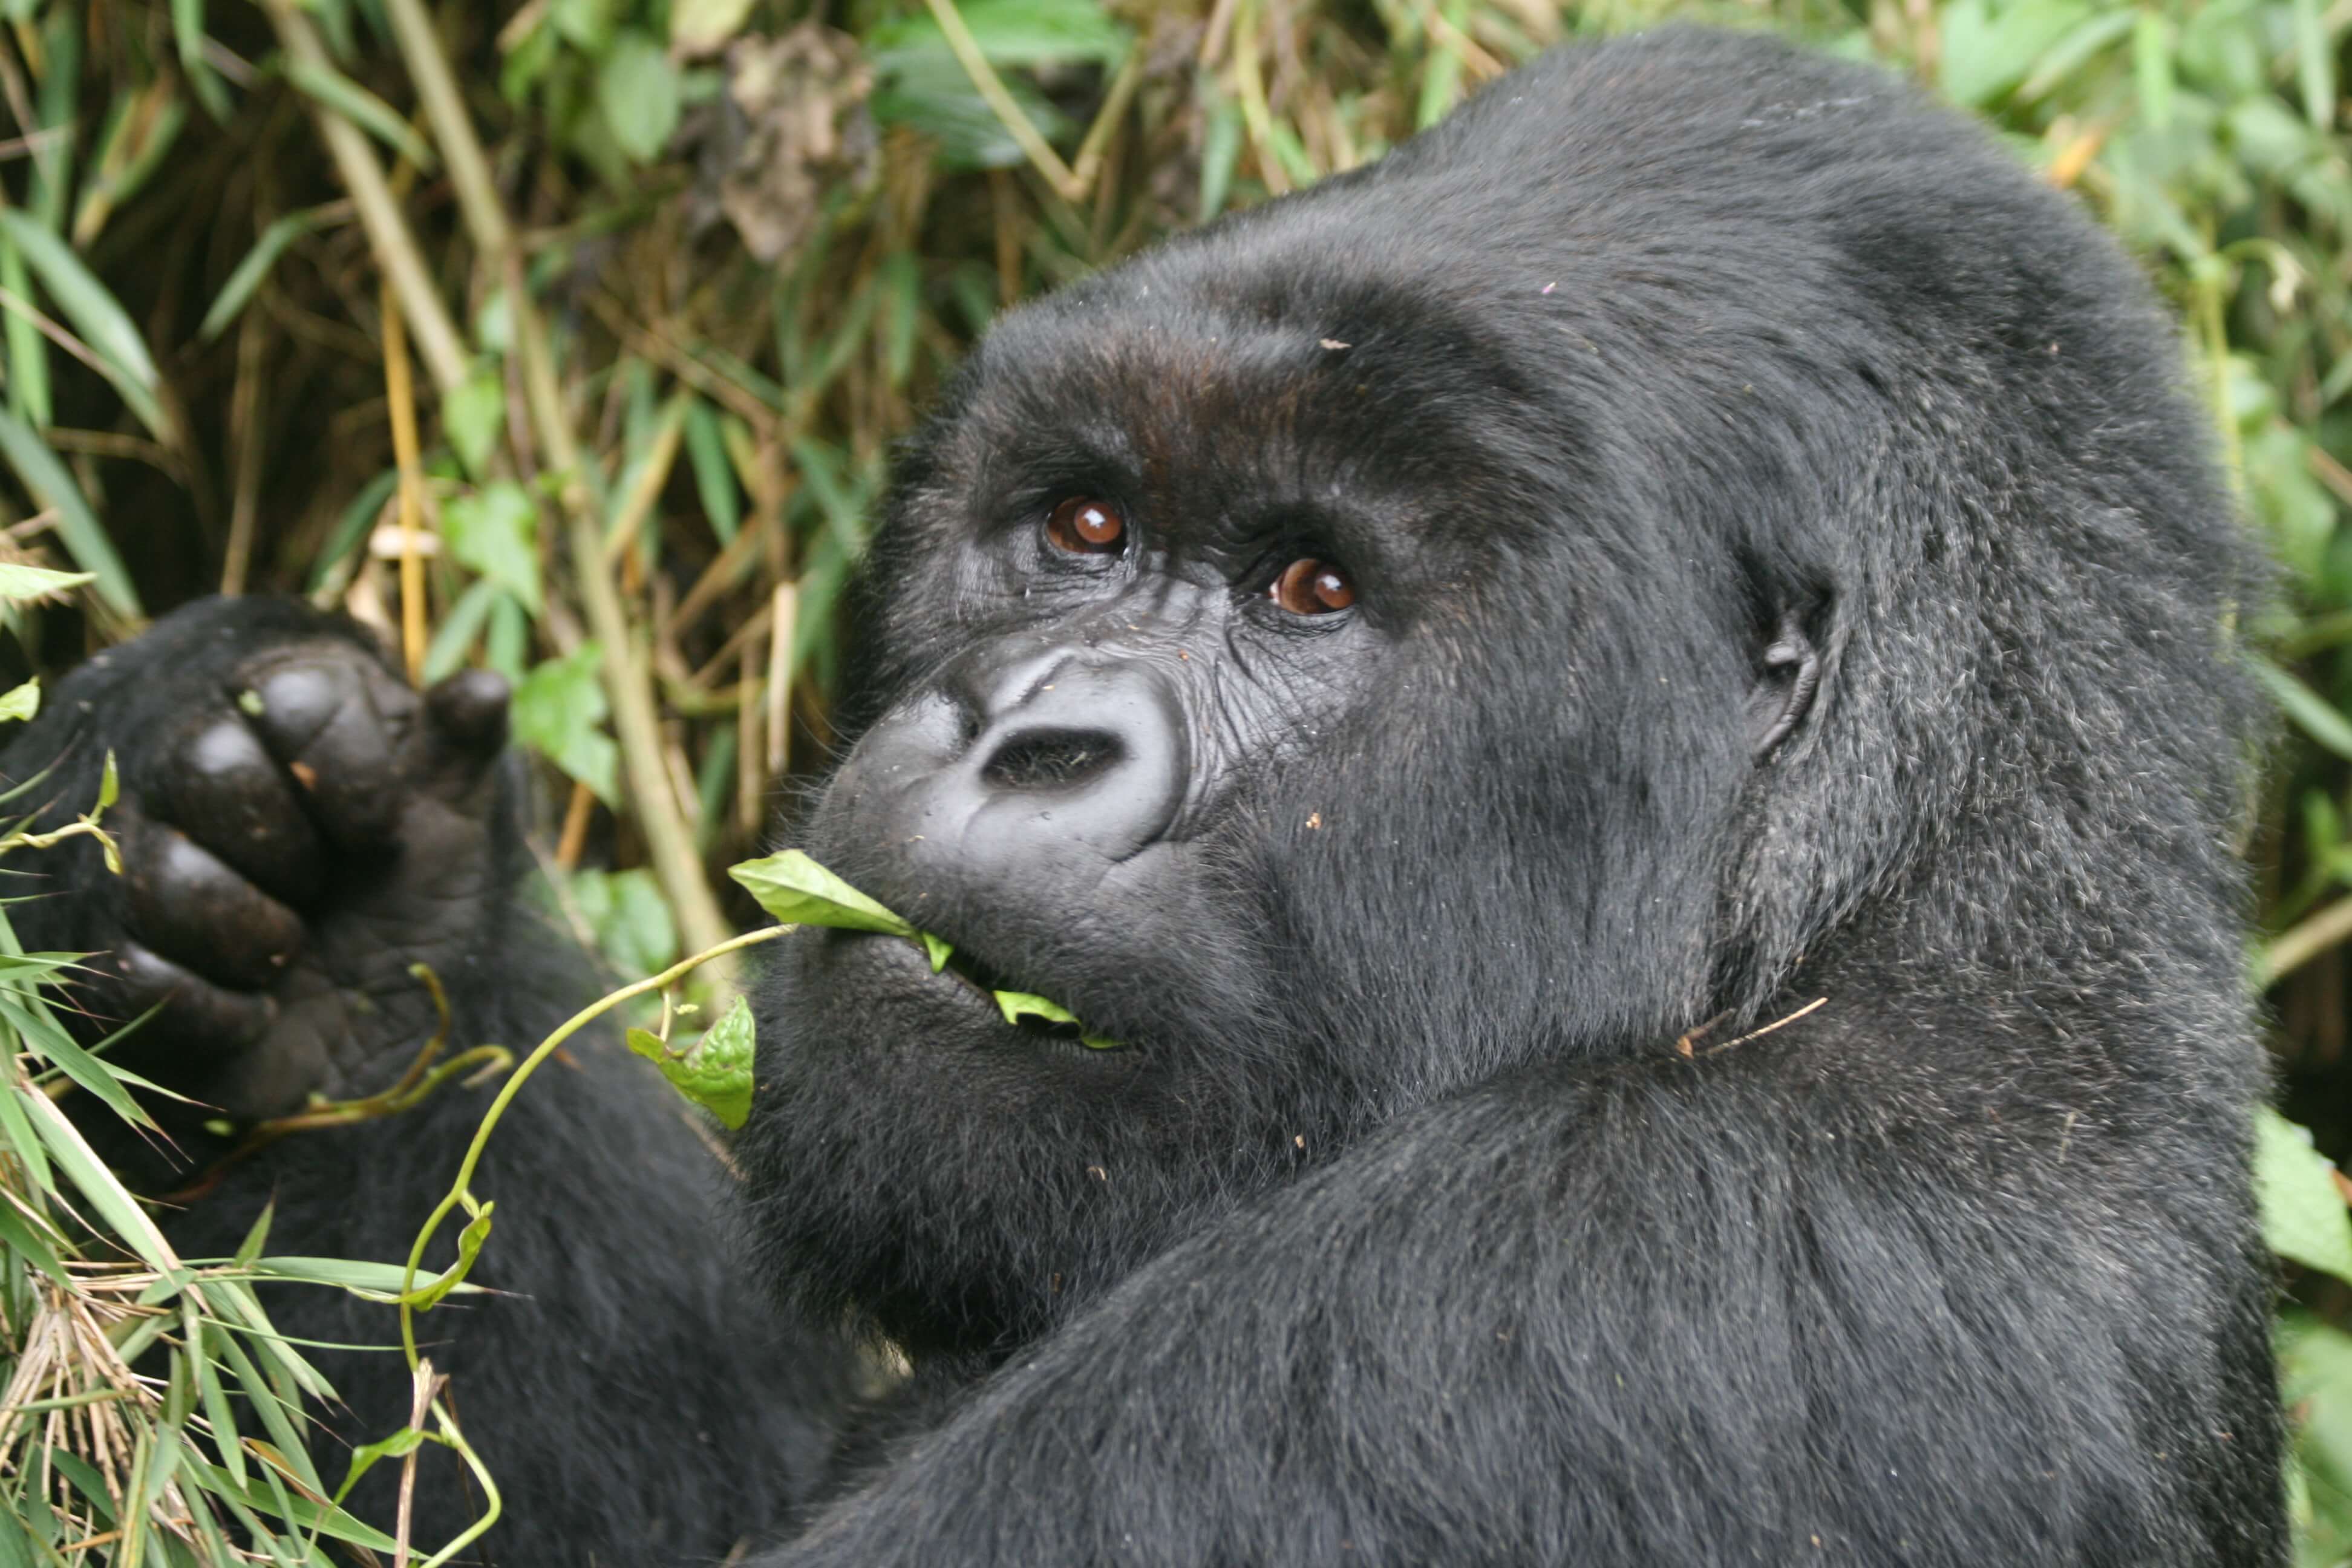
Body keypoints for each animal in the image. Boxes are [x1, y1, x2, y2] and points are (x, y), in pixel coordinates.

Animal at [0, 24, 2276, 1568]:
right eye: (1084, 525)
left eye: (1311, 590)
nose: (1029, 736)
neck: (1888, 932)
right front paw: (331, 925)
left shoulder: (1577, 1297)